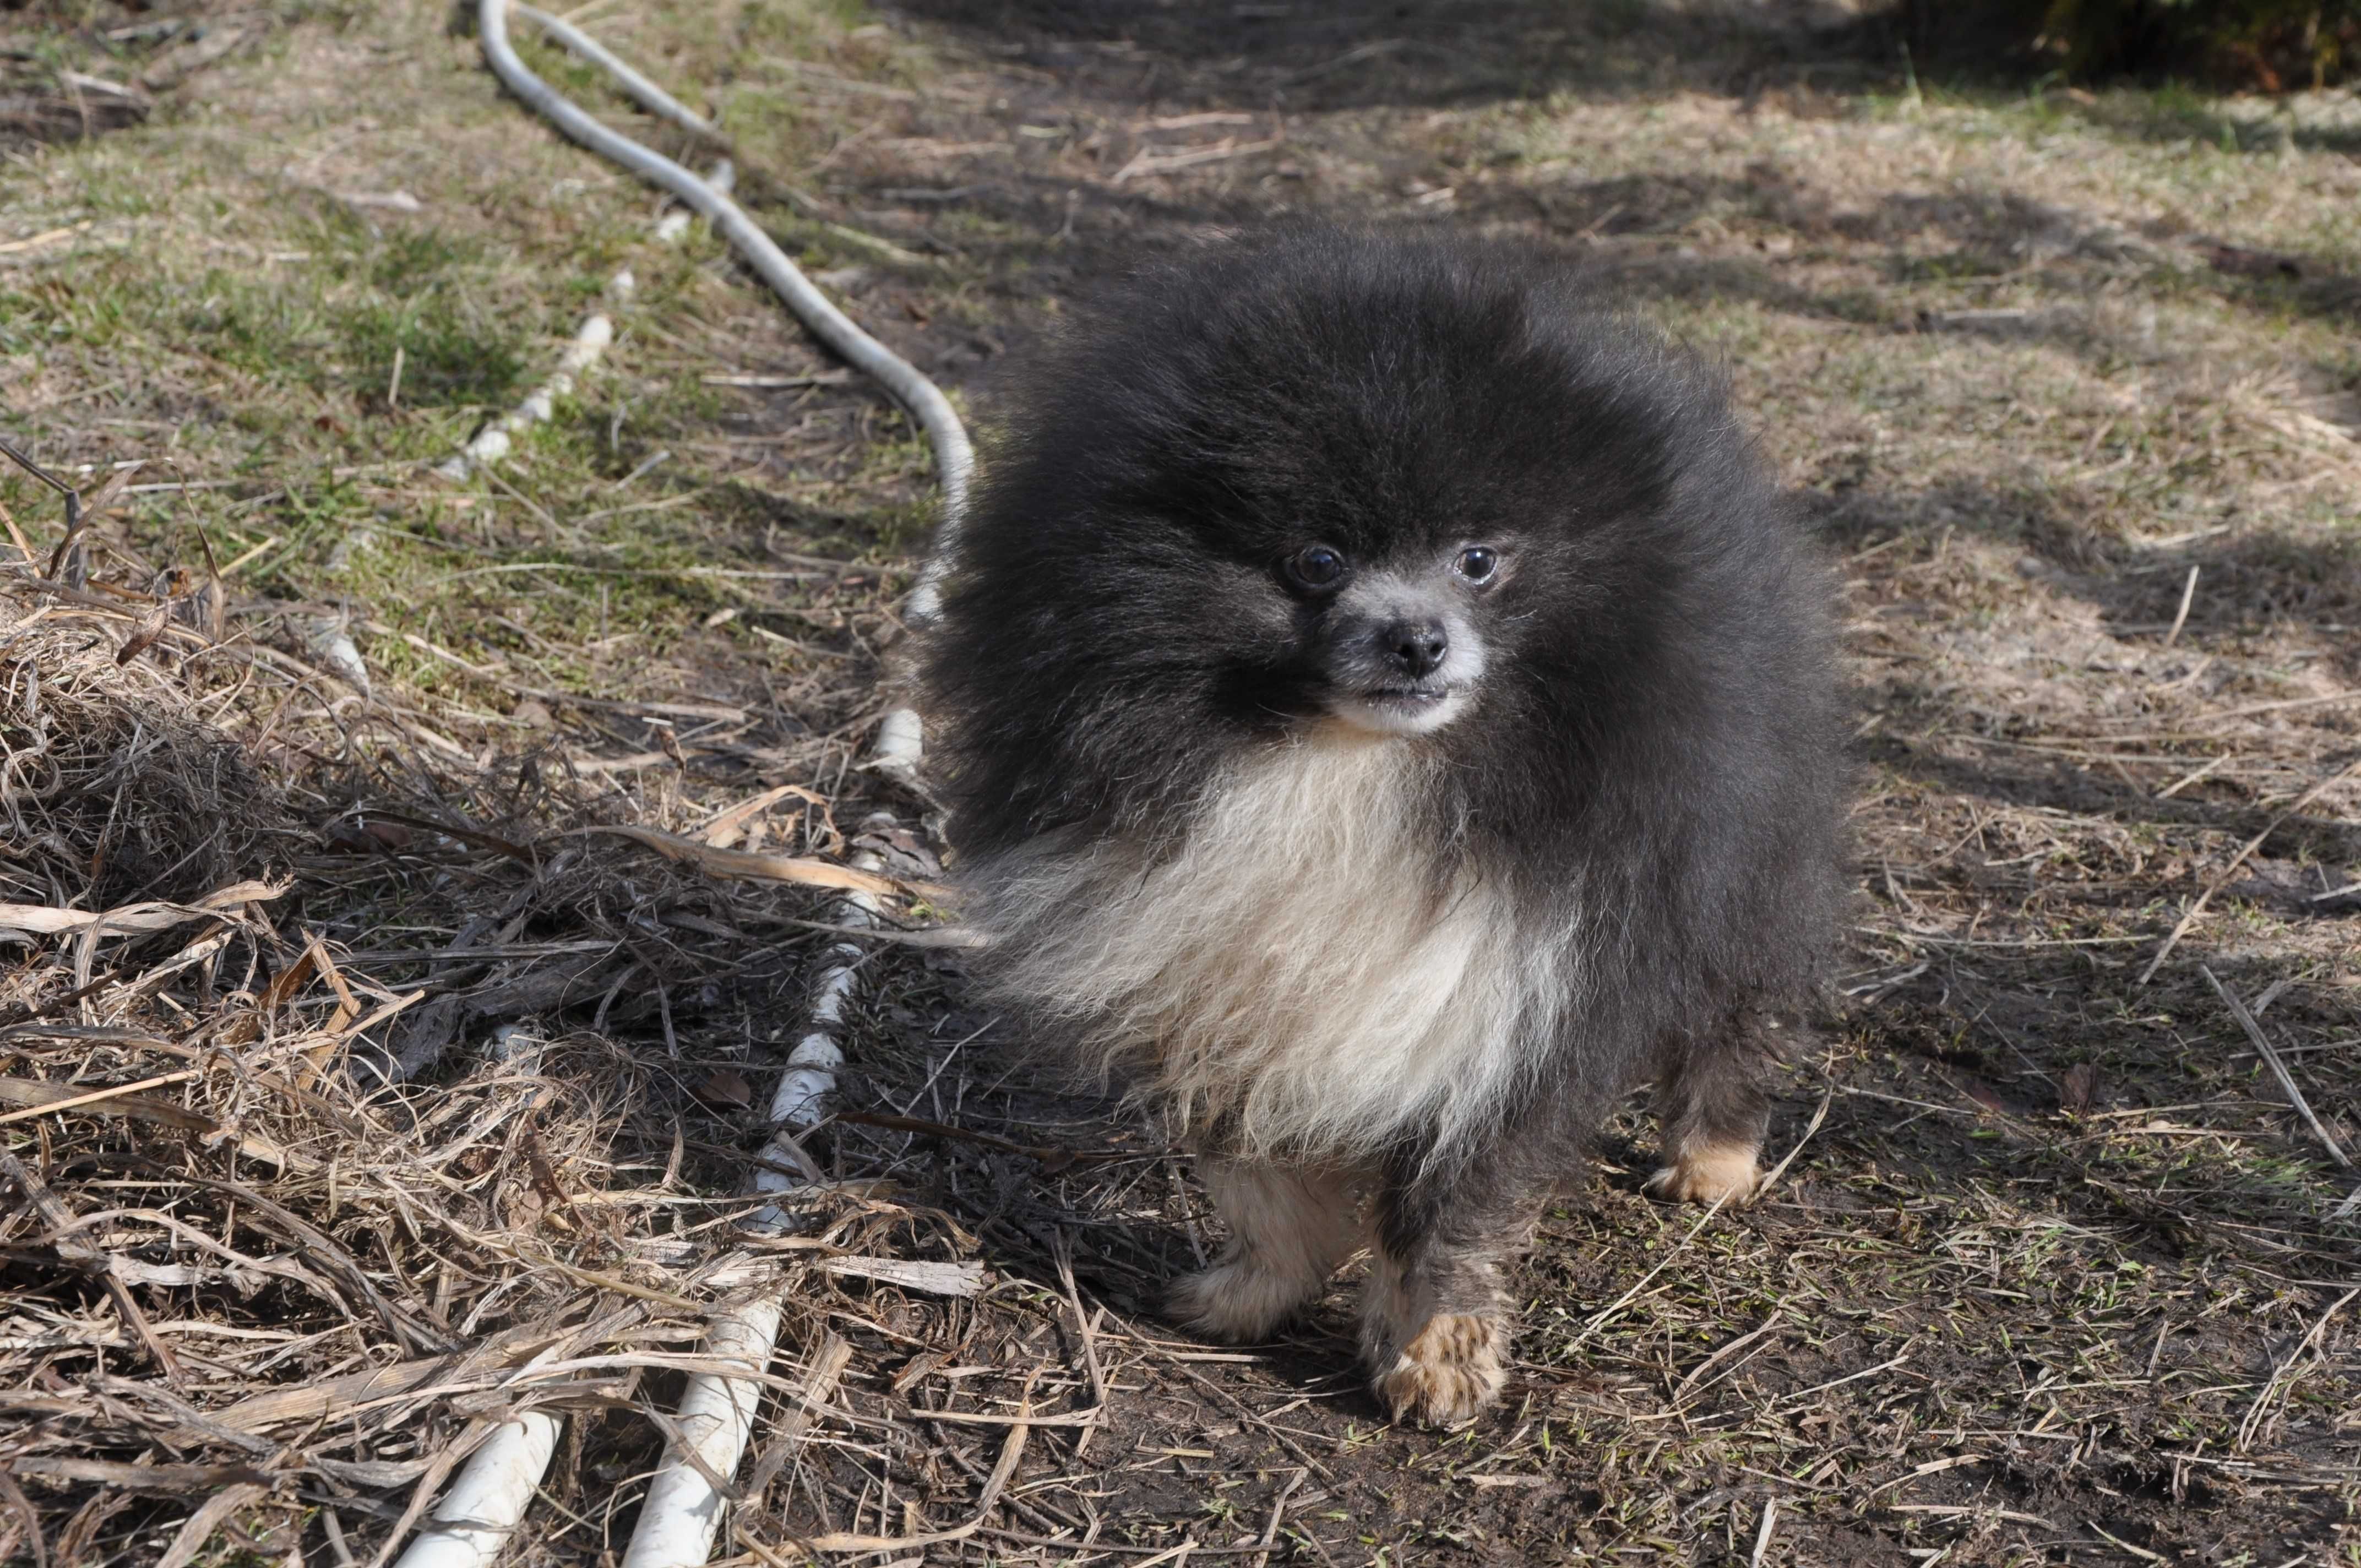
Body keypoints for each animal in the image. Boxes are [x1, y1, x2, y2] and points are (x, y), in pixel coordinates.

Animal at [911, 230, 1851, 1417]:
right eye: (1316, 562)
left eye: (1477, 559)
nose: (1415, 640)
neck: (1350, 768)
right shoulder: (1195, 961)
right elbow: (1251, 1167)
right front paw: (1252, 1287)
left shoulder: (1511, 979)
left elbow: (1454, 1187)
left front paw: (1436, 1349)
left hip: (1744, 839)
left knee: (1740, 994)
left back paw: (1713, 1157)